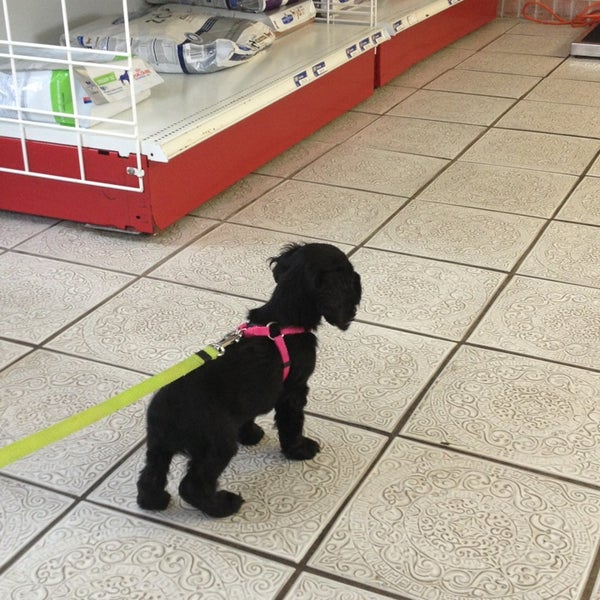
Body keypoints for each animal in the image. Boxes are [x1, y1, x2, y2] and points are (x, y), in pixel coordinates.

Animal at [136, 242, 362, 518]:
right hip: (217, 444)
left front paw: (250, 434)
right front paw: (299, 449)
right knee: (192, 485)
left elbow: (249, 416)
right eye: (348, 274)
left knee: (150, 475)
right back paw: (223, 505)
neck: (283, 320)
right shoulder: (294, 391)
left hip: (158, 446)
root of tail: (166, 416)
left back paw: (153, 502)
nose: (359, 278)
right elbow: (292, 423)